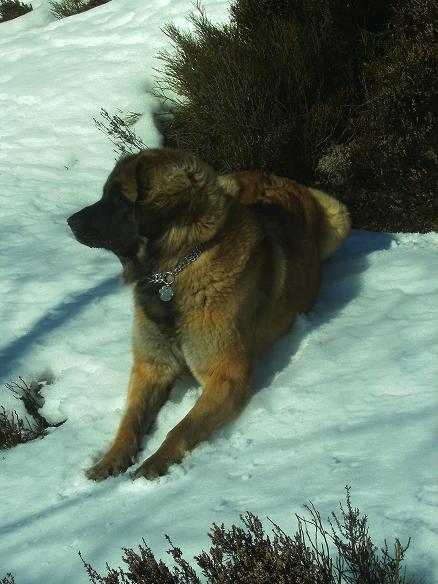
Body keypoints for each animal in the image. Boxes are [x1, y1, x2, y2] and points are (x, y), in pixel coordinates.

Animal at [66, 148, 350, 482]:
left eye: (120, 199)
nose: (70, 221)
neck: (174, 271)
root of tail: (275, 176)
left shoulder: (226, 377)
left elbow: (182, 427)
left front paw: (155, 461)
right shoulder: (151, 367)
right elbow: (129, 421)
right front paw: (110, 459)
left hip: (339, 217)